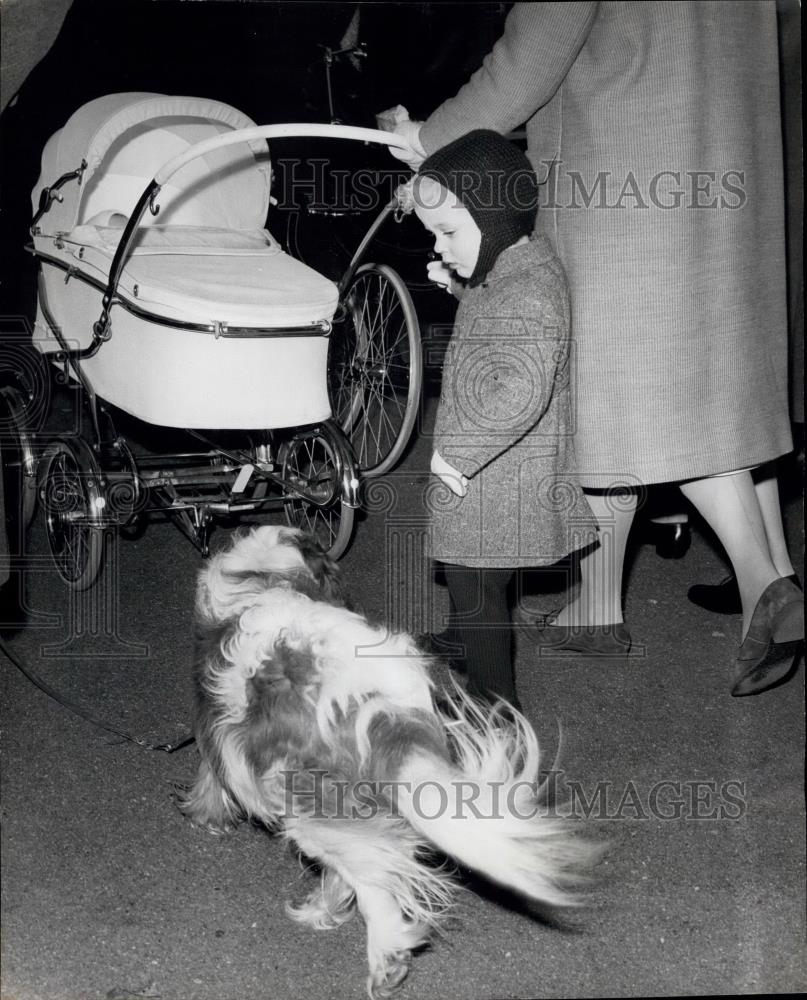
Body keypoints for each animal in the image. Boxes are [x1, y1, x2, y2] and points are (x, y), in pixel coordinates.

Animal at [181, 528, 600, 996]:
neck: (267, 575)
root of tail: (379, 708)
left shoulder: (214, 725)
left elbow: (211, 775)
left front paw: (205, 814)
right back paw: (329, 910)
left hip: (313, 810)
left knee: (372, 885)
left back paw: (386, 957)